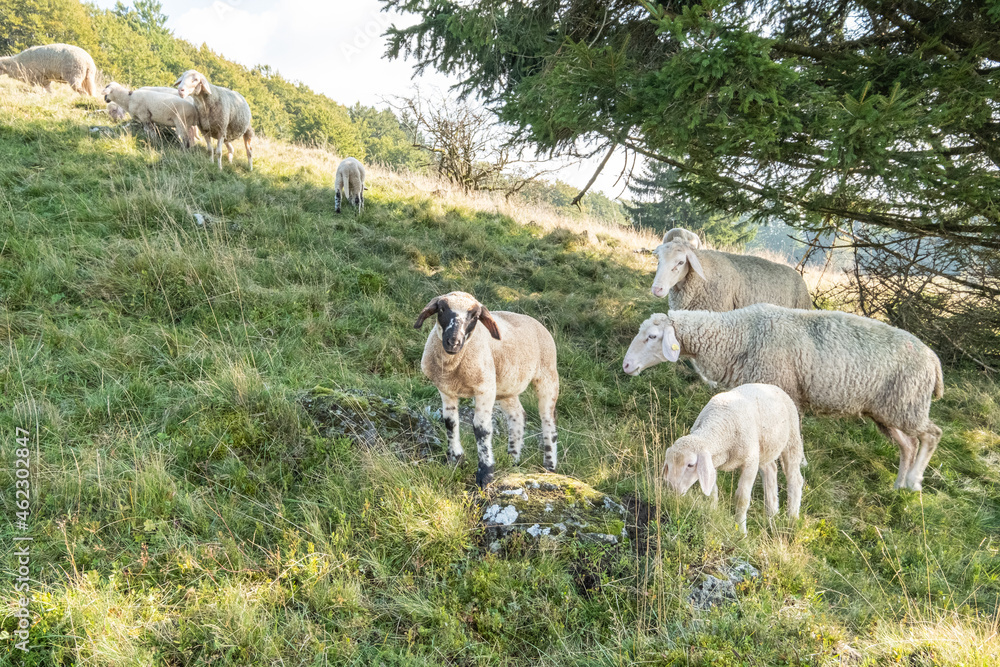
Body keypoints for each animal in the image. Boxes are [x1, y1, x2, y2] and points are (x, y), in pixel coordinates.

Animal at [410, 290, 560, 486]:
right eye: (441, 309)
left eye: (475, 316)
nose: (453, 342)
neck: (453, 365)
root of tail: (535, 322)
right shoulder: (446, 389)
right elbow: (450, 423)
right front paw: (454, 459)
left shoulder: (484, 389)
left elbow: (481, 429)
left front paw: (485, 474)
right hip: (505, 387)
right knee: (518, 415)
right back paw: (512, 459)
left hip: (547, 376)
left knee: (548, 420)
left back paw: (549, 466)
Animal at [624, 306, 944, 494]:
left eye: (652, 336)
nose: (626, 366)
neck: (739, 337)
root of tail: (934, 360)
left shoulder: (781, 389)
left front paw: (798, 463)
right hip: (888, 411)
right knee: (908, 444)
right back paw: (898, 484)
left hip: (907, 404)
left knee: (931, 435)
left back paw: (914, 482)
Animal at [664, 384, 804, 536]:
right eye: (669, 464)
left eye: (690, 465)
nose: (672, 489)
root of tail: (770, 386)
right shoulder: (713, 462)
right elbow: (712, 492)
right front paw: (712, 512)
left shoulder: (750, 463)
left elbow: (741, 499)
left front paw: (741, 531)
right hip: (763, 450)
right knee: (771, 470)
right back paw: (772, 514)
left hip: (792, 440)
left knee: (795, 479)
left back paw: (792, 516)